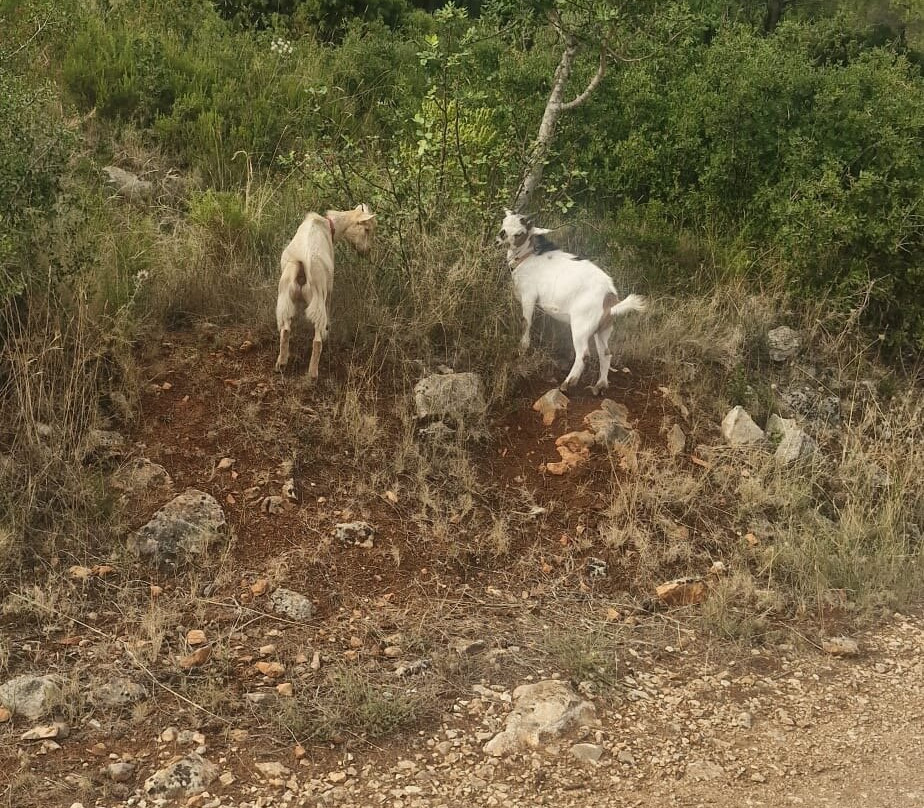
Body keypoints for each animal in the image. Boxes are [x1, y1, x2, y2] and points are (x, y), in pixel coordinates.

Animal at [275, 203, 375, 380]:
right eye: (367, 229)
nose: (367, 251)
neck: (329, 225)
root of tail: (302, 262)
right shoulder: (329, 286)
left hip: (285, 296)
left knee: (285, 330)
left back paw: (281, 363)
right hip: (318, 297)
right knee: (317, 341)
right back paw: (313, 373)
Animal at [497, 209, 646, 394]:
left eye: (520, 233)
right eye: (504, 221)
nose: (502, 234)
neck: (529, 255)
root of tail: (610, 300)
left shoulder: (528, 295)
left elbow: (526, 322)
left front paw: (522, 347)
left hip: (581, 326)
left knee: (583, 354)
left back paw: (567, 383)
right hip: (603, 329)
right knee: (605, 353)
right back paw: (600, 385)